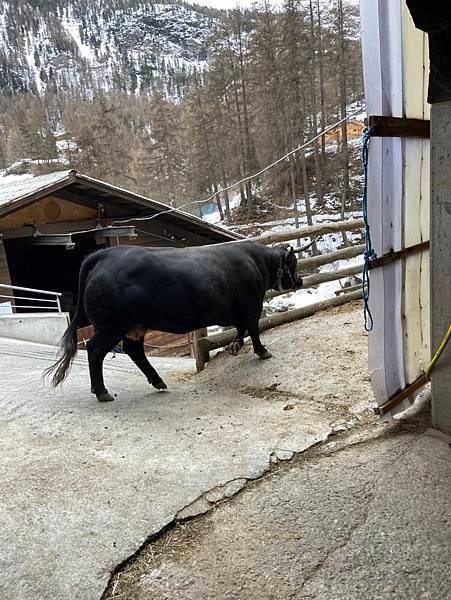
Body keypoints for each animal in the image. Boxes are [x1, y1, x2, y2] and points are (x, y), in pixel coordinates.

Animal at [46, 240, 302, 404]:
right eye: (294, 263)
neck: (256, 262)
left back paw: (158, 381)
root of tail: (104, 255)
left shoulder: (239, 312)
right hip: (113, 326)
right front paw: (262, 351)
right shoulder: (252, 306)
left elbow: (241, 329)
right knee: (95, 349)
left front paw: (235, 346)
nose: (299, 281)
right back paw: (101, 392)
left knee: (134, 350)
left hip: (135, 326)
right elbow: (253, 329)